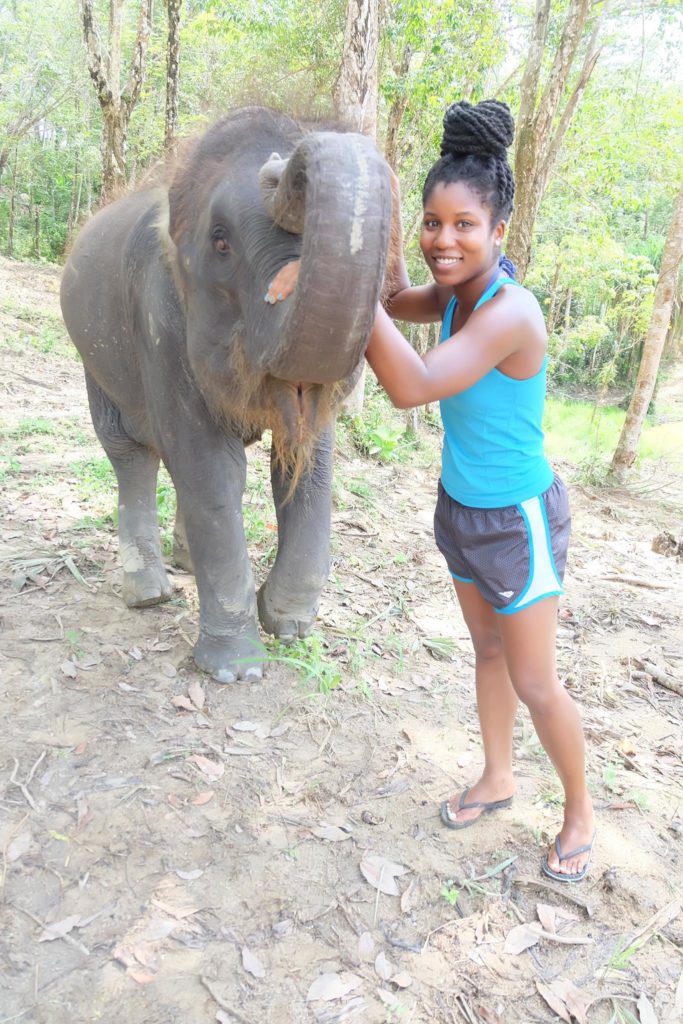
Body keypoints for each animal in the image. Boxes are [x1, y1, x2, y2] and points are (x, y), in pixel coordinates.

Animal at [60, 106, 393, 683]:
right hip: (94, 358)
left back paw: (187, 564)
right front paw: (236, 670)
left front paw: (289, 626)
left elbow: (308, 467)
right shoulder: (159, 319)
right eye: (221, 242)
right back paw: (149, 593)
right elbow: (213, 469)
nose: (280, 165)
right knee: (130, 451)